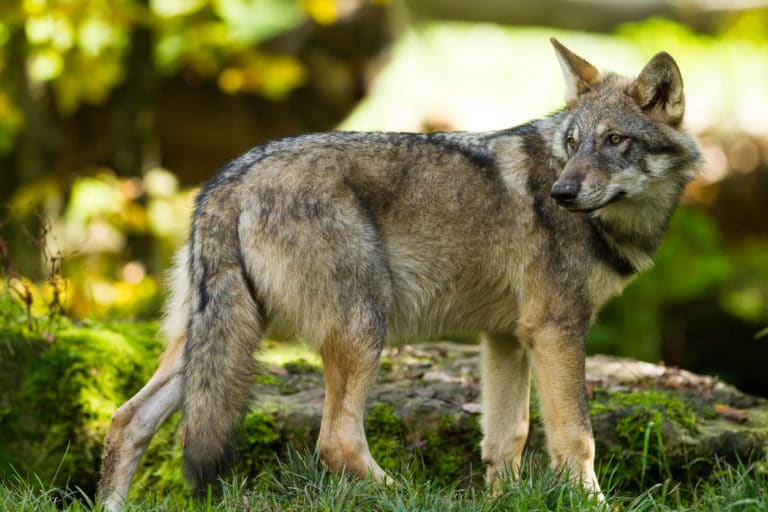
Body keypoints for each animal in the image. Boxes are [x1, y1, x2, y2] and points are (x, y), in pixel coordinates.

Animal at [97, 39, 701, 509]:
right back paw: (410, 495)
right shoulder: (556, 331)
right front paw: (590, 502)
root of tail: (229, 178)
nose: (562, 193)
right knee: (336, 442)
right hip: (363, 329)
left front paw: (503, 501)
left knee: (126, 421)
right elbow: (577, 436)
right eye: (573, 144)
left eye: (615, 140)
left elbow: (507, 437)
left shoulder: (507, 338)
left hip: (218, 342)